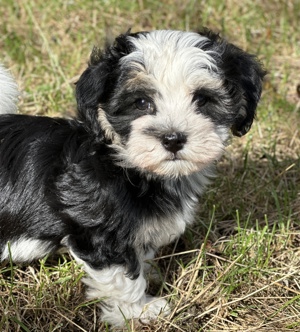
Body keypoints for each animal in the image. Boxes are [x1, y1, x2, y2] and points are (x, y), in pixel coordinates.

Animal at [0, 29, 264, 326]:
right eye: (141, 103)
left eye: (203, 100)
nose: (173, 138)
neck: (124, 164)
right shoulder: (101, 235)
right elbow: (123, 278)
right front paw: (139, 310)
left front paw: (150, 276)